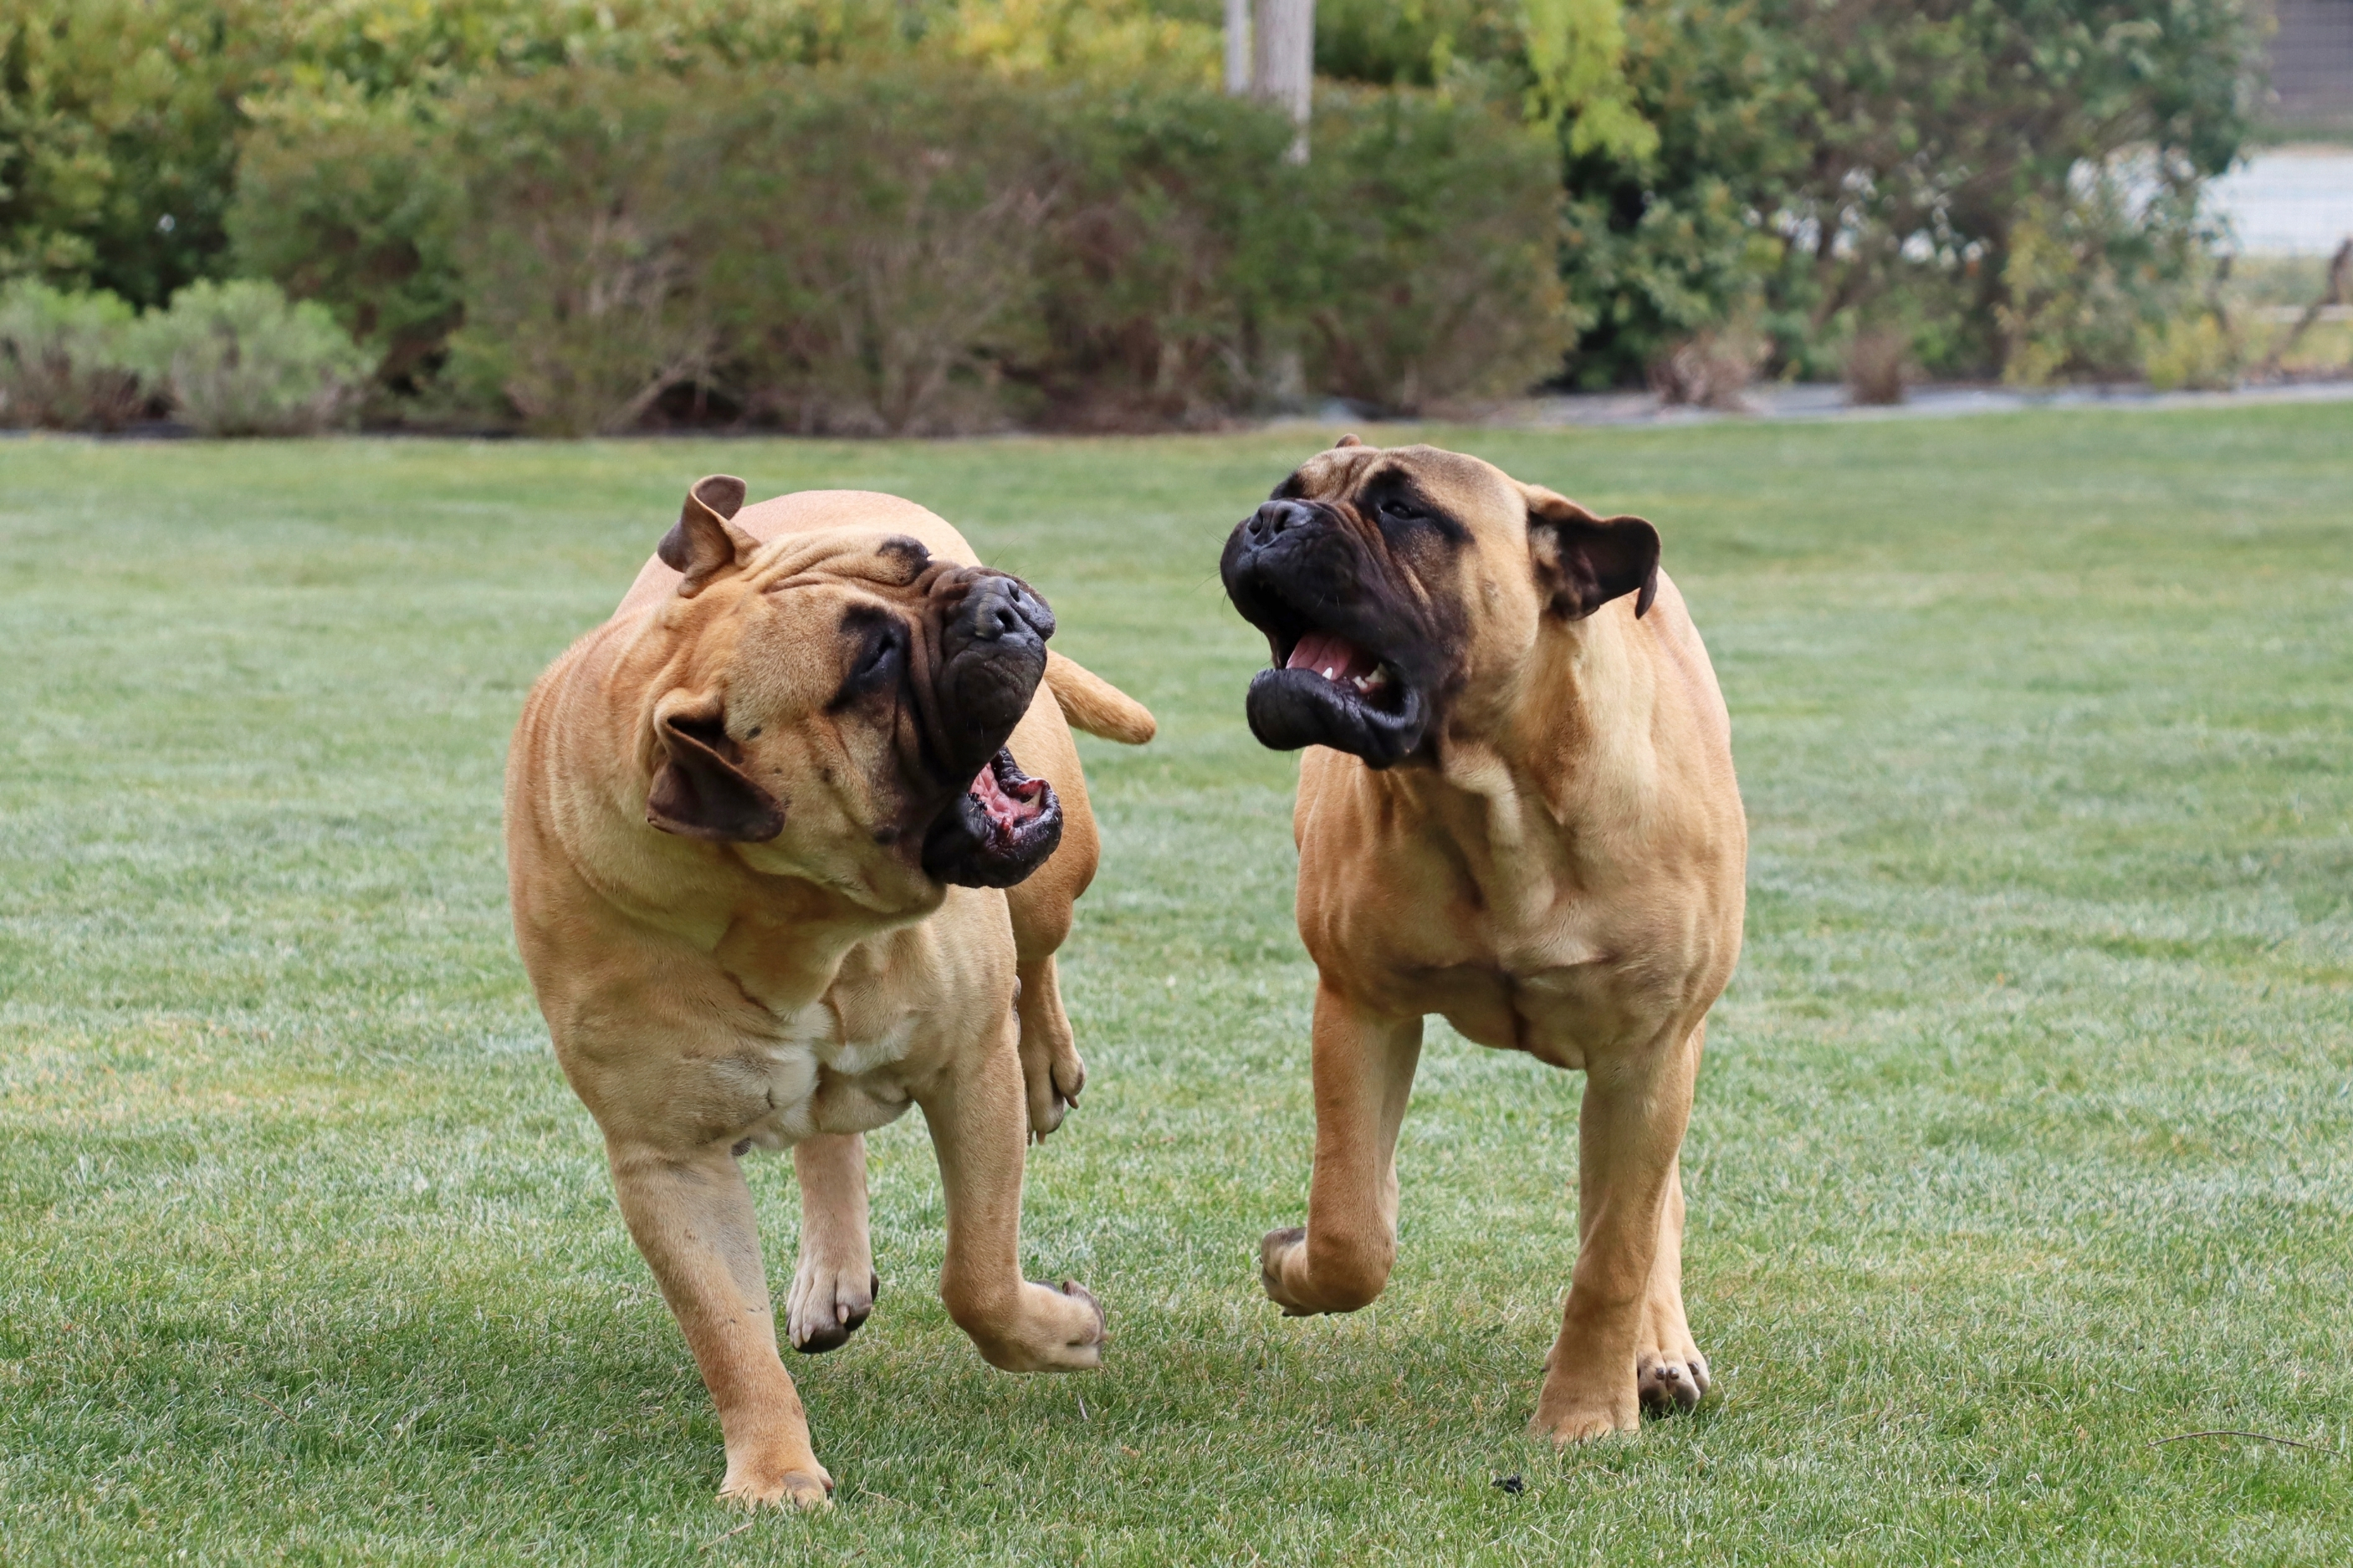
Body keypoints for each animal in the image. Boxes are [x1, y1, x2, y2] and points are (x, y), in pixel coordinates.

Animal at [510, 482, 1153, 1504]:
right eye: (872, 662)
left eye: (910, 558)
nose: (1001, 604)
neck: (794, 916)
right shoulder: (668, 1160)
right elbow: (726, 1334)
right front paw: (771, 1472)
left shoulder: (968, 1068)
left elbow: (977, 1275)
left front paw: (1060, 1332)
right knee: (829, 1134)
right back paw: (833, 1270)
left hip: (1054, 871)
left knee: (1038, 950)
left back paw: (1046, 1065)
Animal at [1223, 442, 1741, 1448]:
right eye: (1287, 492)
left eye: (1402, 509)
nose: (1268, 521)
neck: (1493, 796)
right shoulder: (1360, 1005)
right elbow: (1349, 1226)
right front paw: (1294, 1264)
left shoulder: (1648, 1052)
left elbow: (1613, 1254)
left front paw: (1584, 1416)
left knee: (1650, 1205)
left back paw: (1655, 1349)